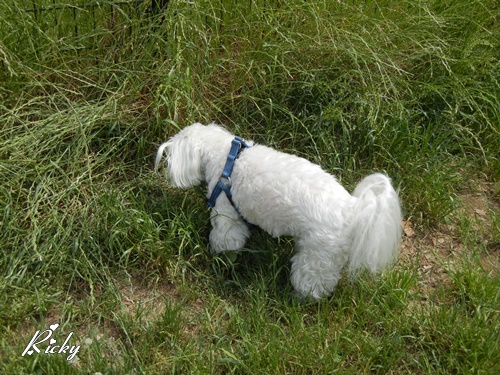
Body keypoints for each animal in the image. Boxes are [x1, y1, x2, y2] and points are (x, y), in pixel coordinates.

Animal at [155, 123, 402, 300]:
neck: (227, 156)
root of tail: (353, 210)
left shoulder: (226, 214)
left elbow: (227, 240)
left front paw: (220, 257)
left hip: (318, 258)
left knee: (314, 283)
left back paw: (299, 298)